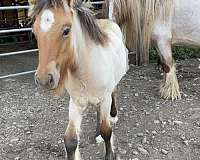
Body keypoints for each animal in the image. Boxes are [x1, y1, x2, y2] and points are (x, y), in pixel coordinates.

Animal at [28, 0, 128, 159]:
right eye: (34, 32)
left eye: (66, 30)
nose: (44, 79)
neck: (86, 71)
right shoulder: (76, 103)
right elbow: (70, 141)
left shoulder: (105, 99)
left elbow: (107, 131)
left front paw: (110, 154)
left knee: (114, 94)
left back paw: (113, 116)